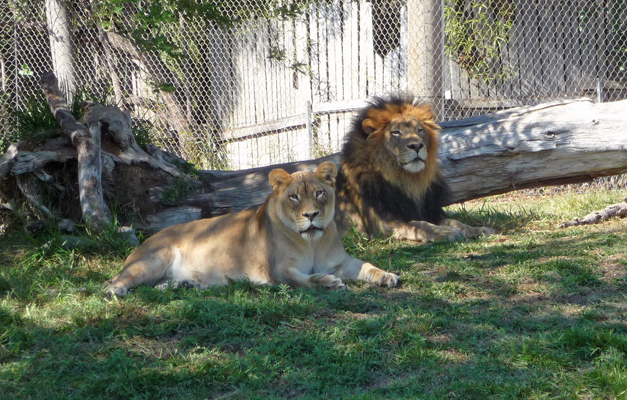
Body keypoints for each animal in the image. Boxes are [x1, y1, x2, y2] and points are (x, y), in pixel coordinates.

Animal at [103, 161, 398, 296]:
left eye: (319, 193)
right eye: (294, 197)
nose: (311, 215)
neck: (312, 242)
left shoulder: (341, 262)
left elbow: (366, 266)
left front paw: (386, 276)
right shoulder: (279, 270)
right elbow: (302, 280)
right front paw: (327, 282)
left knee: (158, 286)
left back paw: (183, 285)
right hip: (154, 257)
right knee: (113, 281)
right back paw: (117, 290)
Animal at [336, 95, 498, 242]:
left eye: (420, 130)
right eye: (396, 132)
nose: (417, 145)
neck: (407, 180)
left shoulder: (430, 212)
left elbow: (455, 222)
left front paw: (479, 229)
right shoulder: (384, 223)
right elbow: (420, 225)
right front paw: (445, 232)